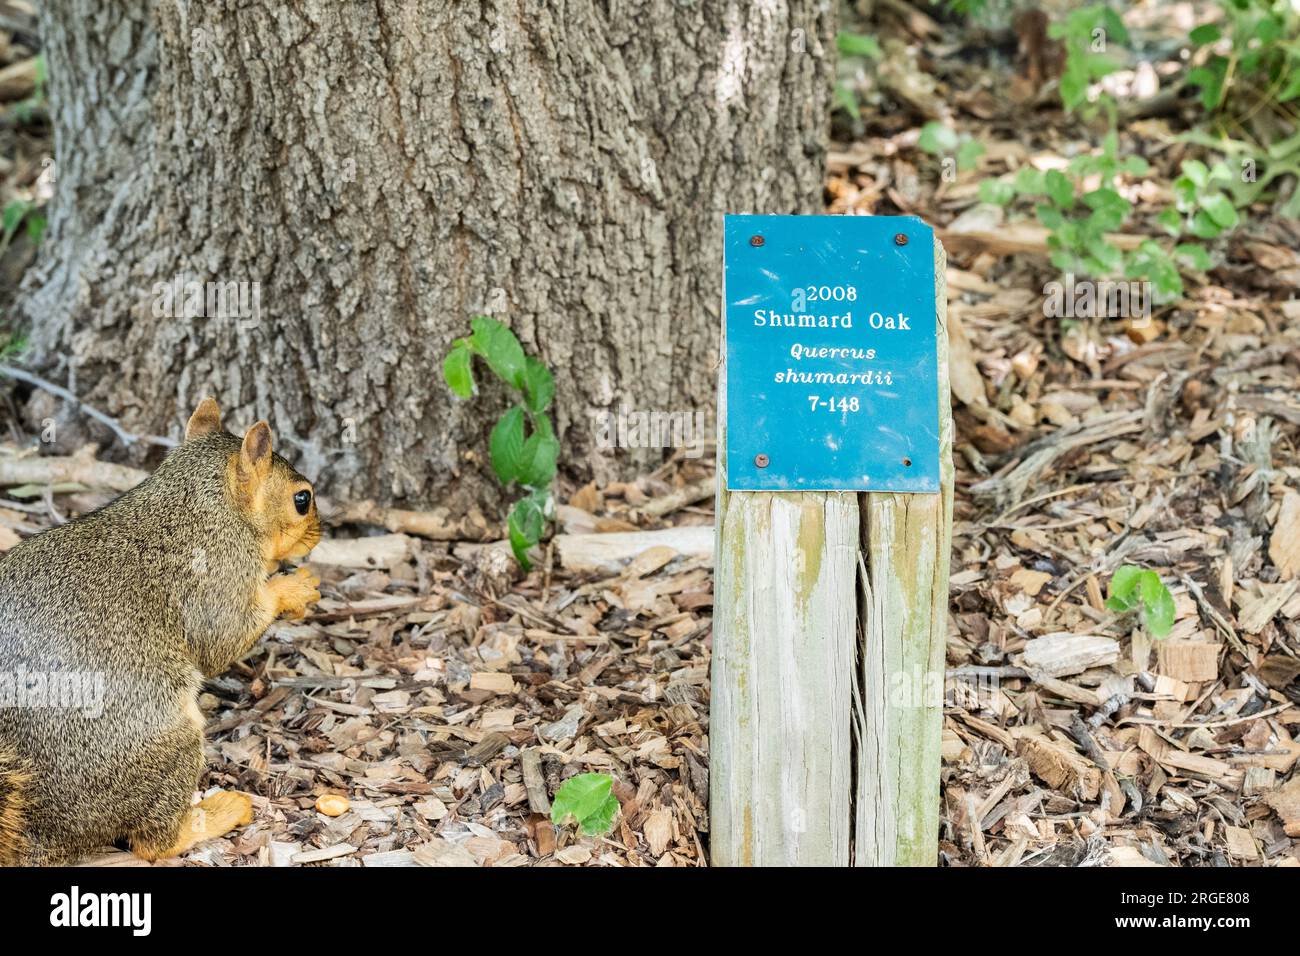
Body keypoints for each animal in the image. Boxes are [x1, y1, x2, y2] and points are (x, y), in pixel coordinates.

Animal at [0, 398, 322, 865]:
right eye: (302, 499)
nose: (319, 533)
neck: (198, 506)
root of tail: (42, 832)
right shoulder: (216, 577)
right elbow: (223, 638)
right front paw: (291, 588)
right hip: (166, 743)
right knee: (154, 843)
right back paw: (218, 814)